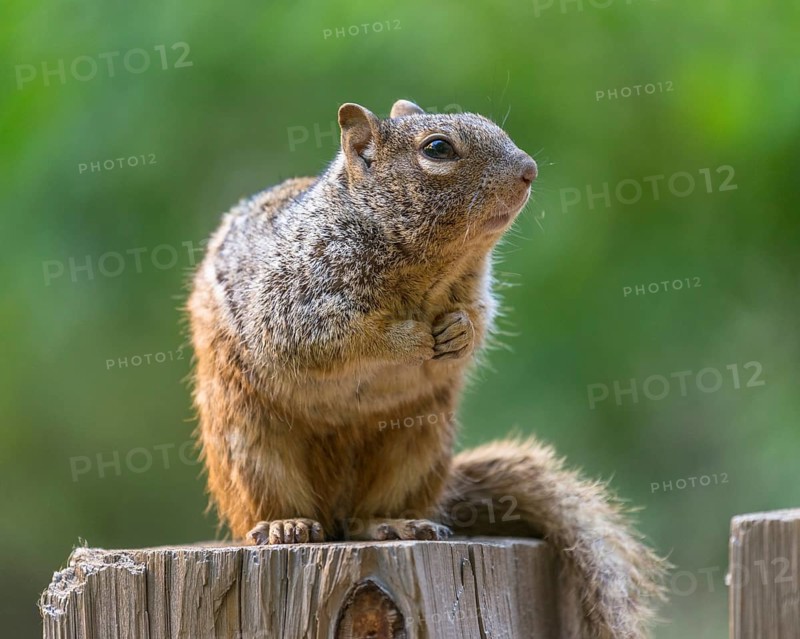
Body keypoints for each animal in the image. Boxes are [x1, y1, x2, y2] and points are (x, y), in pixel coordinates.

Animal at [187, 99, 667, 638]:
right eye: (438, 148)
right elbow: (334, 338)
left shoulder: (474, 293)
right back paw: (284, 525)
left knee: (364, 520)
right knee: (274, 506)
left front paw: (458, 332)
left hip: (417, 446)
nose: (529, 170)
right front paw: (410, 338)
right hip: (250, 446)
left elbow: (479, 320)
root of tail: (333, 509)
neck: (430, 268)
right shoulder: (293, 303)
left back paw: (394, 524)